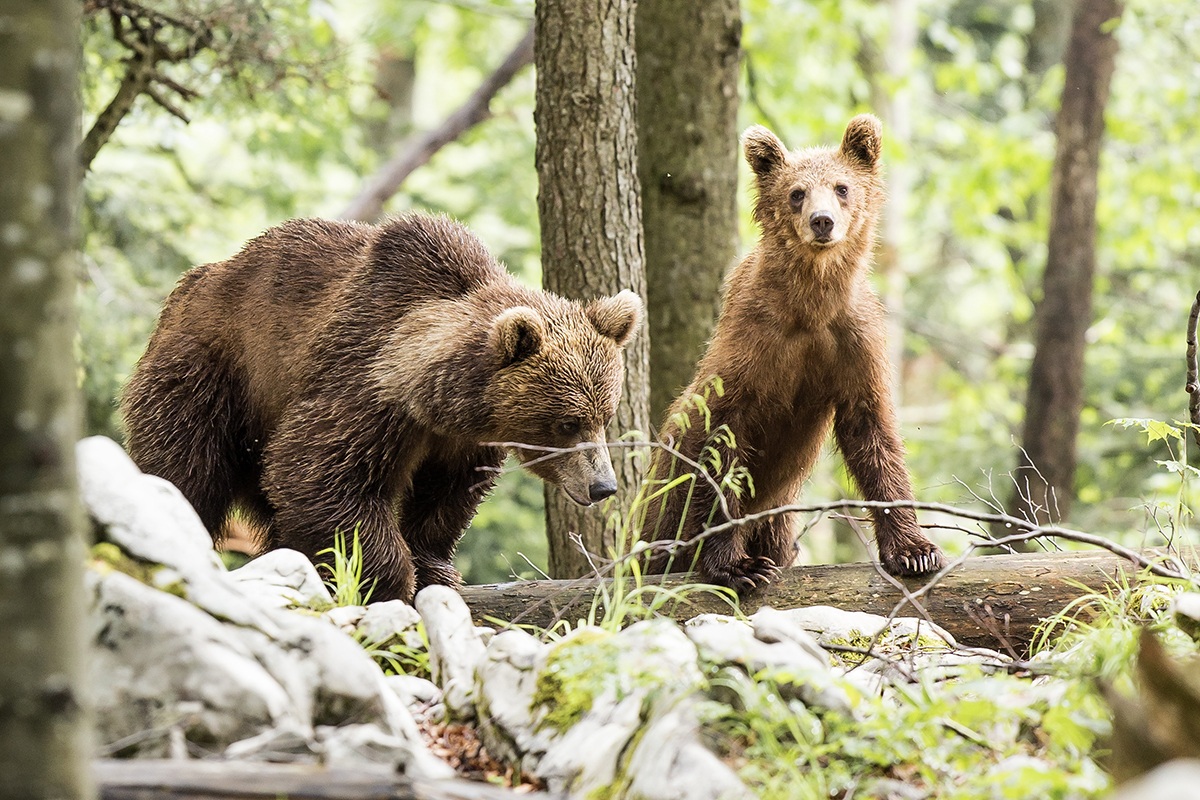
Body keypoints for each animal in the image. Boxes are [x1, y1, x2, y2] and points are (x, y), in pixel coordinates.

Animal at [121, 213, 643, 602]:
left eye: (604, 416)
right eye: (567, 422)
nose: (603, 486)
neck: (434, 400)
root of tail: (189, 285)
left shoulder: (460, 442)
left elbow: (444, 499)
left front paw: (435, 570)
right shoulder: (363, 390)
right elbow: (317, 476)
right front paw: (389, 580)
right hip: (214, 376)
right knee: (187, 466)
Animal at [637, 114, 945, 593]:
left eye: (841, 187)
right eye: (796, 192)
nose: (822, 221)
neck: (810, 305)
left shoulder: (852, 342)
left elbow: (872, 435)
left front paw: (914, 550)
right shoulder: (754, 346)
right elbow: (721, 441)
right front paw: (737, 565)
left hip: (778, 519)